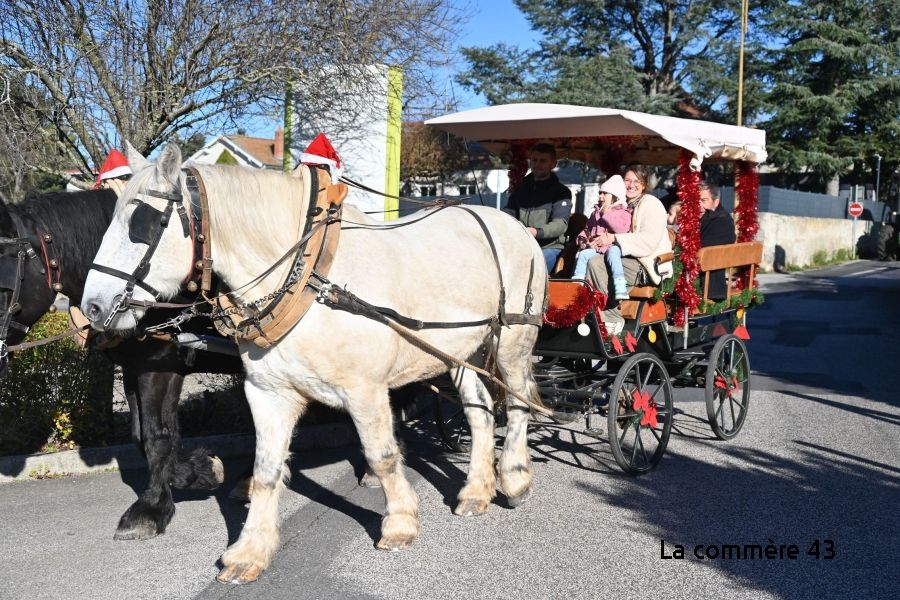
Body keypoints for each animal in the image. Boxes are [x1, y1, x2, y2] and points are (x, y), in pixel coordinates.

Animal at [0, 188, 243, 540]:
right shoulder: (135, 368)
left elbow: (157, 436)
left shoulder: (160, 366)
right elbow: (143, 435)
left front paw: (149, 509)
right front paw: (197, 471)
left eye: (5, 285)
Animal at [82, 143, 548, 584]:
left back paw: (515, 478)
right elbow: (266, 469)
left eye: (144, 224)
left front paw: (398, 523)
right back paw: (476, 491)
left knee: (518, 405)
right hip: (460, 351)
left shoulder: (365, 390)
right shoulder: (268, 393)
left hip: (513, 341)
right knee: (480, 412)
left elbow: (381, 455)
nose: (92, 307)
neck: (308, 280)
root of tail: (512, 226)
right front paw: (250, 551)